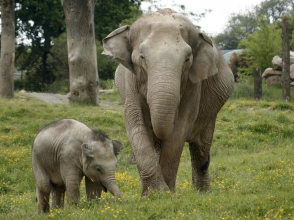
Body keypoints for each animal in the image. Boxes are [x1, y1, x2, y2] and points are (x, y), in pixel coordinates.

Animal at [102, 8, 233, 196]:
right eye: (142, 57)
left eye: (187, 59)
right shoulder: (130, 82)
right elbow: (135, 124)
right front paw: (154, 193)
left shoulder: (193, 86)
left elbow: (180, 129)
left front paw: (166, 193)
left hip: (212, 111)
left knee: (201, 149)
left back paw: (202, 193)